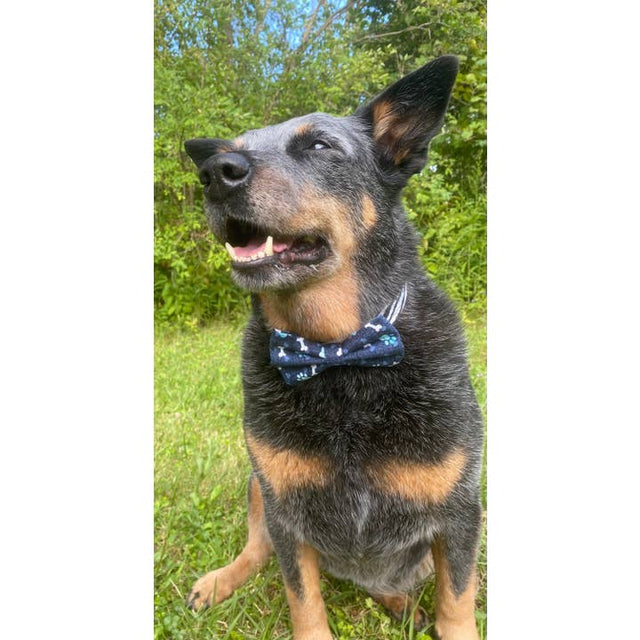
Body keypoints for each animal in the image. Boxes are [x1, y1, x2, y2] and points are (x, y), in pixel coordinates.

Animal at [182, 56, 482, 640]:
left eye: (320, 145)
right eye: (235, 145)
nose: (214, 173)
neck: (337, 355)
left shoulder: (461, 511)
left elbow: (456, 603)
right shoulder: (285, 509)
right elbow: (303, 599)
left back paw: (401, 603)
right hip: (258, 487)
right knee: (257, 550)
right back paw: (221, 580)